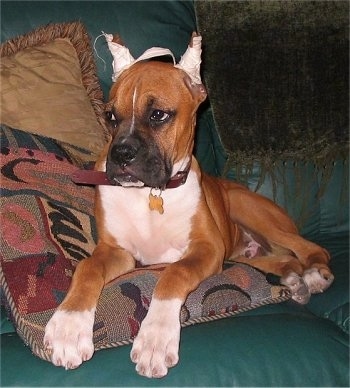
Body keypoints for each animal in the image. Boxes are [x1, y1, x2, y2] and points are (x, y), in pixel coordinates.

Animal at [43, 33, 334, 378]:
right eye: (111, 117)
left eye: (158, 115)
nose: (121, 154)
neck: (152, 194)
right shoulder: (116, 251)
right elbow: (87, 268)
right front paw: (69, 327)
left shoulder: (206, 248)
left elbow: (173, 274)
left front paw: (155, 338)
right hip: (248, 253)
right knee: (285, 259)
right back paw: (294, 281)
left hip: (246, 208)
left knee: (311, 249)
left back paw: (314, 275)